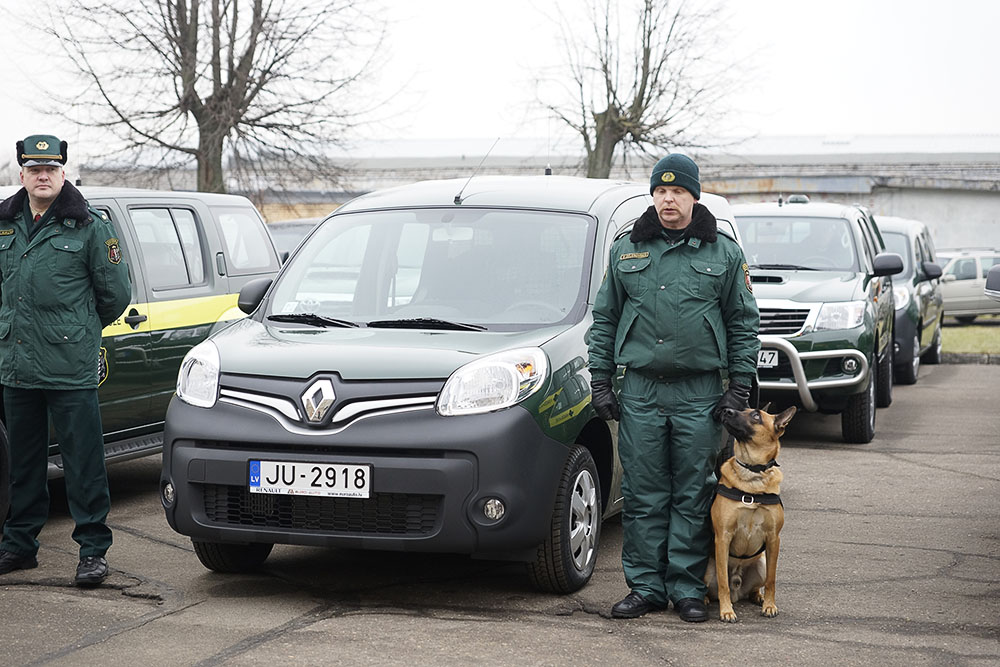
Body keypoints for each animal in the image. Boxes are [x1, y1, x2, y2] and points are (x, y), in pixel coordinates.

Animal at [708, 404, 792, 624]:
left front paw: (769, 606)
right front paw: (726, 611)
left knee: (756, 587)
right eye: (742, 409)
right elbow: (723, 582)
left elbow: (772, 580)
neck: (753, 474)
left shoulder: (773, 539)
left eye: (755, 415)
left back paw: (758, 597)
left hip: (761, 565)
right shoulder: (723, 537)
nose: (726, 411)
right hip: (707, 571)